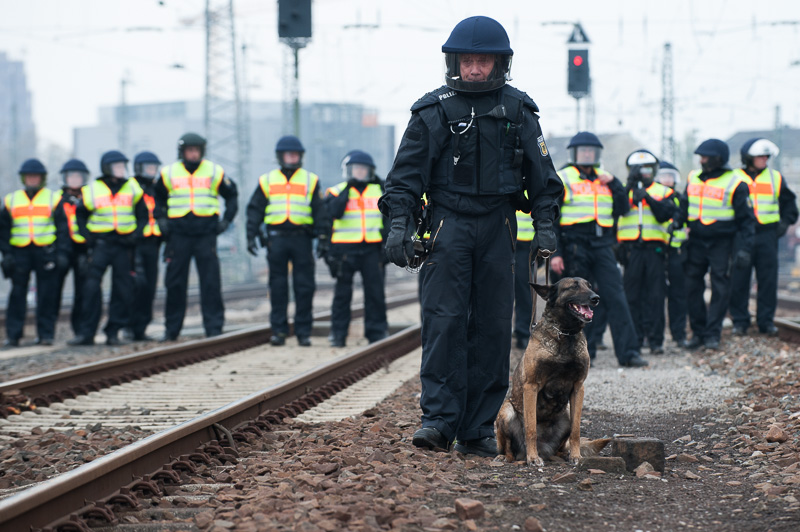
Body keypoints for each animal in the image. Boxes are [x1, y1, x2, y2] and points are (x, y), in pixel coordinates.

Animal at [496, 276, 604, 464]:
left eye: (589, 286)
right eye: (573, 287)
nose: (596, 298)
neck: (566, 333)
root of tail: (544, 449)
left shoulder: (578, 387)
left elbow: (576, 431)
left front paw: (576, 456)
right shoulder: (531, 386)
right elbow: (531, 428)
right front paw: (533, 458)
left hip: (566, 415)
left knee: (562, 445)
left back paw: (564, 454)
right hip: (506, 411)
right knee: (509, 448)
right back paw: (508, 457)